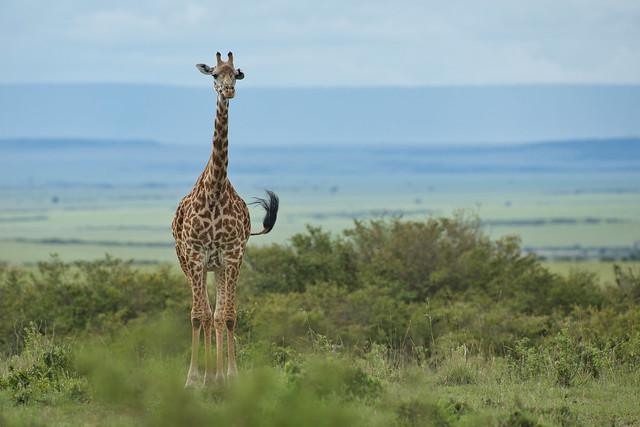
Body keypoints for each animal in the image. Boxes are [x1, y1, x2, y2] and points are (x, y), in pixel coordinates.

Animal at [171, 51, 279, 387]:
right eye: (215, 74)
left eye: (237, 73)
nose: (228, 90)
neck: (216, 190)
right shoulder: (195, 255)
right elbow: (198, 316)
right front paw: (194, 379)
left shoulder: (232, 256)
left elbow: (227, 316)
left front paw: (229, 377)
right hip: (189, 263)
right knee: (204, 314)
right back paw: (205, 375)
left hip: (217, 267)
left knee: (217, 315)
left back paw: (216, 374)